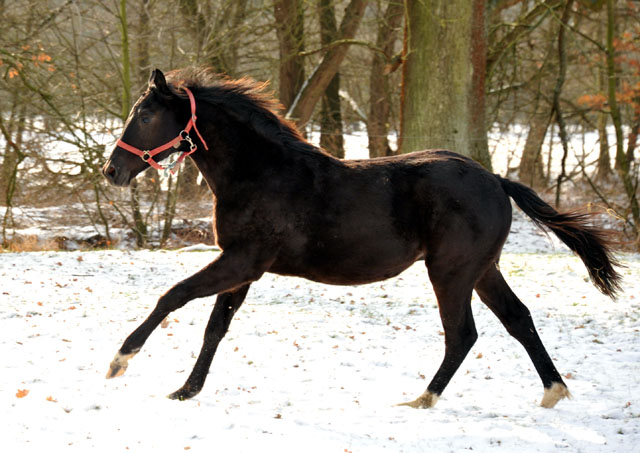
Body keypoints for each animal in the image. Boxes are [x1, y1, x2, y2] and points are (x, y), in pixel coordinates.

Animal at [102, 69, 624, 408]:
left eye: (145, 116)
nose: (112, 171)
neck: (262, 173)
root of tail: (496, 179)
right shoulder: (242, 267)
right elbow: (216, 326)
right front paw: (185, 390)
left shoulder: (242, 260)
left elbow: (174, 295)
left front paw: (120, 360)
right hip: (483, 270)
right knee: (518, 320)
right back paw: (553, 393)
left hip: (451, 272)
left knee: (462, 334)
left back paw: (422, 398)